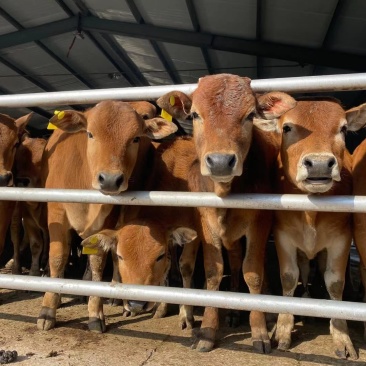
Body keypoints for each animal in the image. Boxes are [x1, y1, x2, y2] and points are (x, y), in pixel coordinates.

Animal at [36, 100, 177, 332]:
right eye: (90, 134)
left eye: (135, 138)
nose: (110, 180)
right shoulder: (56, 213)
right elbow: (57, 259)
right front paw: (48, 309)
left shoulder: (108, 218)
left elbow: (98, 263)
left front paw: (95, 311)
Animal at [157, 73, 294, 352]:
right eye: (195, 114)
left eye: (250, 115)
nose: (220, 162)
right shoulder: (206, 223)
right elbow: (214, 271)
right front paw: (208, 330)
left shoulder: (260, 223)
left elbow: (253, 272)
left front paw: (260, 330)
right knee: (234, 258)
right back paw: (231, 312)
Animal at [254, 98, 366, 358]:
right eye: (287, 128)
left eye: (343, 129)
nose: (319, 164)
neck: (310, 213)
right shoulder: (283, 236)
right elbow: (289, 277)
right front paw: (284, 328)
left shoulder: (341, 240)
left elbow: (335, 282)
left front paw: (341, 334)